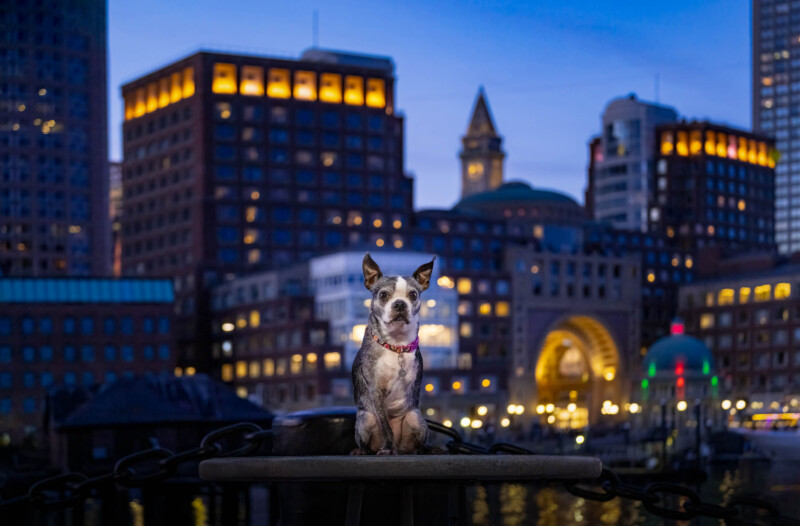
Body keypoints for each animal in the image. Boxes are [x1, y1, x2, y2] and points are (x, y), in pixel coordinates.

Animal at [354, 254, 434, 456]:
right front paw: (387, 447)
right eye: (383, 295)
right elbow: (386, 426)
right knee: (366, 443)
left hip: (416, 418)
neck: (395, 345)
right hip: (366, 418)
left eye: (413, 295)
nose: (399, 303)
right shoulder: (375, 390)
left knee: (418, 446)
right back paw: (364, 451)